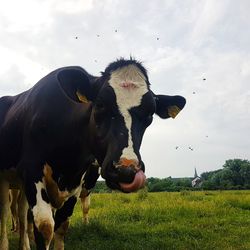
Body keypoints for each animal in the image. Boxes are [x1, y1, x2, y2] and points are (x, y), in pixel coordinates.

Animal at [0, 58, 186, 248]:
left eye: (150, 115)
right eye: (100, 104)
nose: (125, 170)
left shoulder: (76, 180)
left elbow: (62, 224)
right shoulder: (32, 171)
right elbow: (45, 226)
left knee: (21, 213)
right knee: (6, 212)